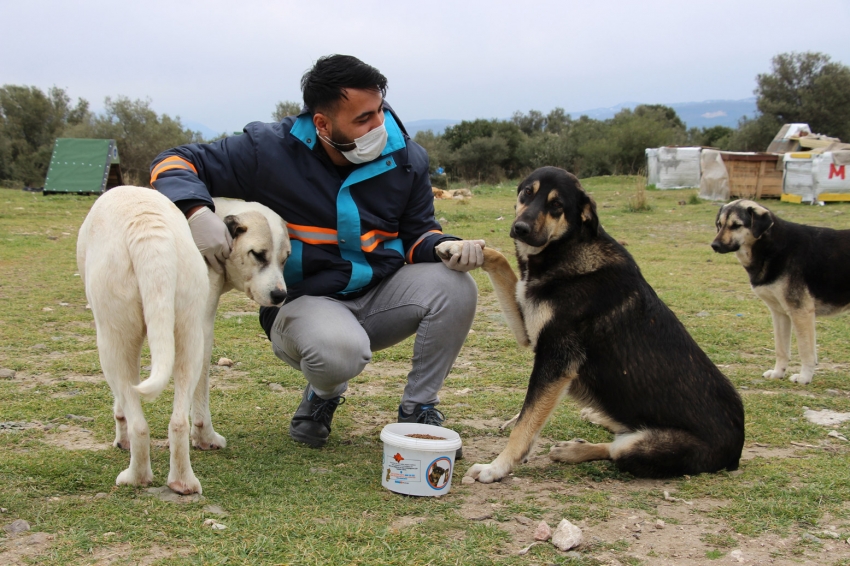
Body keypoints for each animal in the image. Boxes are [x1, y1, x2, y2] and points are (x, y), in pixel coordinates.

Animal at [79, 185, 292, 492]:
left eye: (284, 259)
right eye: (258, 254)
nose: (280, 295)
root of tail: (150, 234)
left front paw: (121, 434)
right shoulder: (202, 326)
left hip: (112, 343)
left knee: (141, 419)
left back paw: (137, 475)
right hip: (188, 336)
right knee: (178, 419)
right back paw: (184, 478)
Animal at [438, 166, 744, 482]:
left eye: (557, 205)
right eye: (527, 193)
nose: (520, 228)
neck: (565, 248)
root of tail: (737, 450)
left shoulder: (557, 360)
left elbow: (525, 423)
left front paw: (497, 467)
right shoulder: (527, 325)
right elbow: (500, 259)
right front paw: (458, 246)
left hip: (644, 447)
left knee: (616, 449)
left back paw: (575, 449)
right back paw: (587, 428)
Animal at [712, 200, 848, 386]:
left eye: (736, 225)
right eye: (719, 224)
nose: (714, 245)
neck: (774, 246)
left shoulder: (801, 313)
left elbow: (806, 352)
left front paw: (805, 377)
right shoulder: (779, 314)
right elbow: (781, 349)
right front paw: (778, 373)